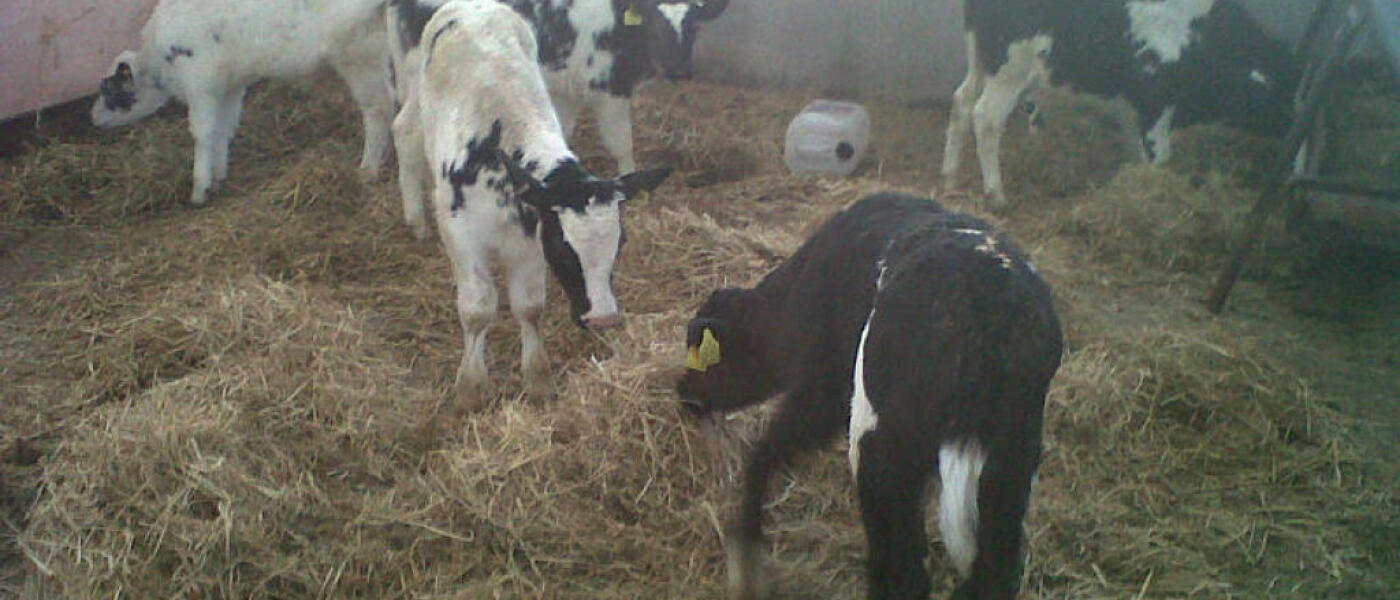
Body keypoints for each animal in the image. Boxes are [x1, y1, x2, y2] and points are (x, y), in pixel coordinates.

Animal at [91, 0, 395, 206]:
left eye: (108, 88)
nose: (92, 118)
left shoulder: (200, 87)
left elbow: (202, 133)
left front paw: (199, 188)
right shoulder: (228, 88)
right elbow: (223, 129)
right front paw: (218, 175)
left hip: (361, 59)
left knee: (378, 112)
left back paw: (367, 171)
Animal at [388, 0, 726, 238]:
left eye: (693, 22)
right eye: (656, 21)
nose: (679, 71)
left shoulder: (567, 91)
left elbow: (565, 132)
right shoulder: (609, 88)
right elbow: (621, 143)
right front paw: (631, 184)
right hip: (421, 82)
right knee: (405, 130)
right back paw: (416, 221)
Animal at [403, 0, 671, 408]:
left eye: (620, 242)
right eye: (563, 245)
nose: (603, 318)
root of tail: (474, 7)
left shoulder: (529, 239)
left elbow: (529, 308)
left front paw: (538, 378)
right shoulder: (461, 234)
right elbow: (477, 310)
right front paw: (470, 387)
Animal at [677, 193, 1064, 600]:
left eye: (702, 353)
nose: (683, 392)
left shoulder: (822, 390)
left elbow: (762, 454)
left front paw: (745, 564)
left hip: (880, 447)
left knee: (903, 570)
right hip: (1011, 462)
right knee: (992, 572)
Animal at [940, 0, 1300, 209]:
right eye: (1284, 107)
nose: (1293, 174)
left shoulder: (1134, 110)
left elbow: (1134, 153)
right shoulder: (1156, 101)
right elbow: (1159, 159)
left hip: (980, 58)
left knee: (961, 100)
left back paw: (950, 175)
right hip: (1011, 67)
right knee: (986, 117)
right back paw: (995, 195)